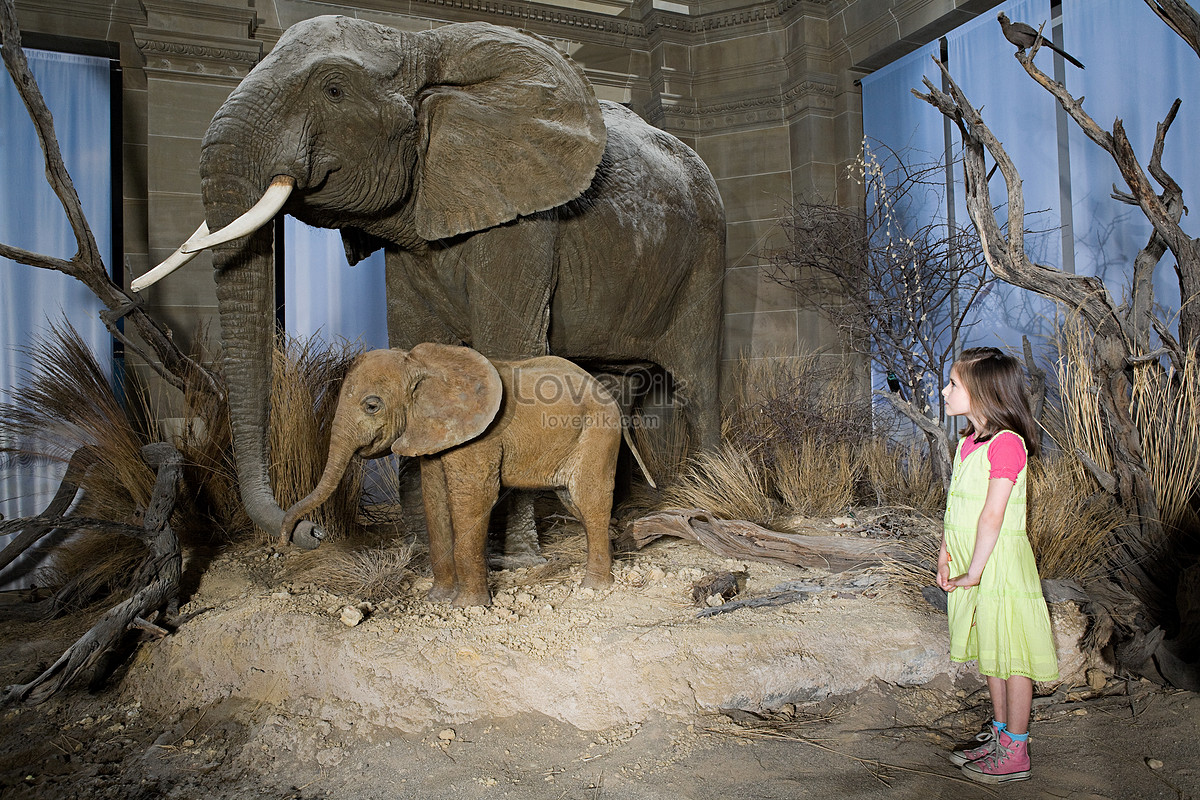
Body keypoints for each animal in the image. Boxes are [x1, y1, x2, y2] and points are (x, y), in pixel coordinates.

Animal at [140, 15, 720, 546]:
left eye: (334, 89)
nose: (307, 532)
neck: (417, 41)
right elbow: (418, 341)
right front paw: (424, 551)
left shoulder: (523, 219)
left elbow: (510, 348)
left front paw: (519, 557)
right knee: (615, 388)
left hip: (705, 254)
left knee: (696, 382)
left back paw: (708, 497)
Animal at [280, 343, 657, 606]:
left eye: (371, 405)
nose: (296, 538)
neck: (424, 365)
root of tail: (610, 397)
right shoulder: (433, 433)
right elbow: (434, 501)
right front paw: (437, 599)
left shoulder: (481, 437)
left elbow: (474, 499)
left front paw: (468, 606)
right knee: (573, 503)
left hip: (598, 432)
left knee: (588, 501)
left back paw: (593, 587)